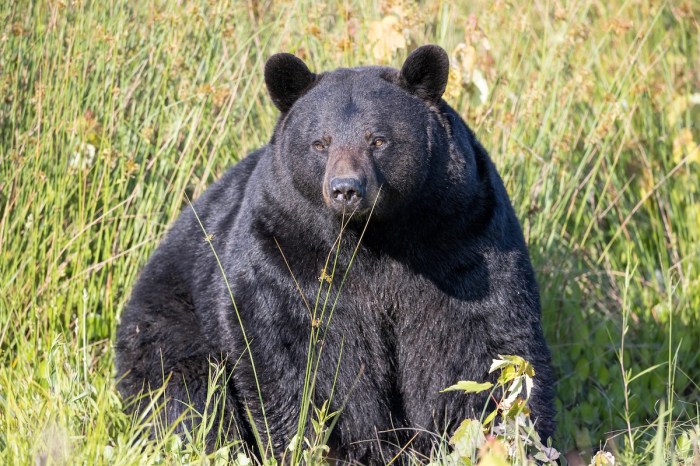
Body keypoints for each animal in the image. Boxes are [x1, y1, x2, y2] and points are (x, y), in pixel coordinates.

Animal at [115, 45, 555, 463]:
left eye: (378, 139)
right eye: (320, 143)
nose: (345, 188)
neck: (375, 240)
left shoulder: (462, 238)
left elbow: (480, 347)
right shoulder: (288, 254)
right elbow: (298, 358)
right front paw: (333, 448)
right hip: (168, 325)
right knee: (185, 395)